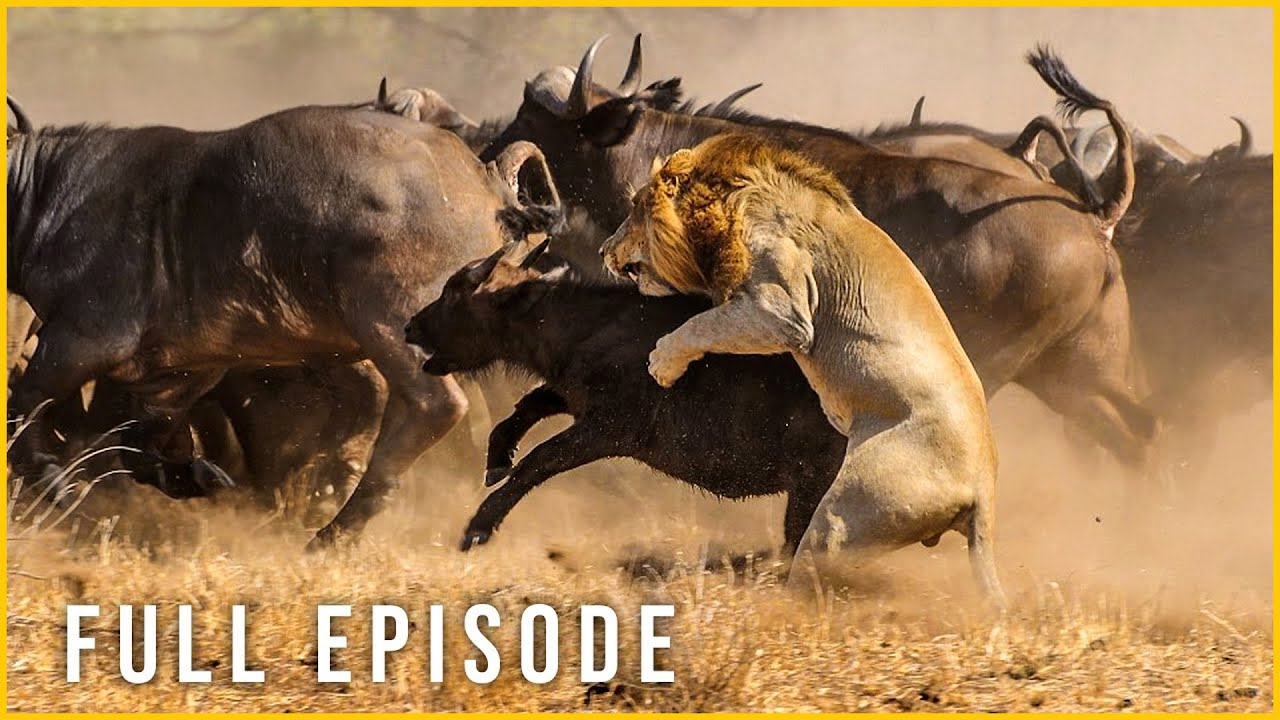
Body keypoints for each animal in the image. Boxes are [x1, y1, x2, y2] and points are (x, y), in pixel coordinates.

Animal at [601, 133, 1006, 607]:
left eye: (635, 209)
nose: (603, 250)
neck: (732, 201)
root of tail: (984, 487)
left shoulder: (782, 312)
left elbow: (701, 325)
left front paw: (662, 363)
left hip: (842, 517)